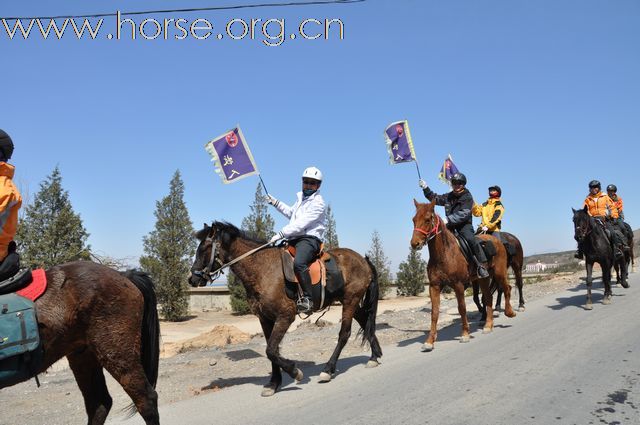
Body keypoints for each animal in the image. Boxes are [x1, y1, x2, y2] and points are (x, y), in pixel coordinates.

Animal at [188, 220, 382, 396]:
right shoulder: (265, 318)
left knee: (344, 334)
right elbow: (271, 350)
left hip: (350, 300)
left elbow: (271, 350)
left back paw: (328, 369)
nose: (192, 279)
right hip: (350, 301)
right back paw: (375, 356)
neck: (262, 269)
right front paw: (273, 383)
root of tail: (363, 260)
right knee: (365, 322)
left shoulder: (285, 316)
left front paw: (294, 371)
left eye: (205, 248)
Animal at [410, 200, 516, 350]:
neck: (444, 254)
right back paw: (488, 325)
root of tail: (496, 241)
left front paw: (465, 334)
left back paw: (510, 312)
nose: (415, 243)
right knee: (488, 297)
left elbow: (462, 308)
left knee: (507, 288)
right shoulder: (434, 286)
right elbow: (434, 312)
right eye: (414, 220)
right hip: (483, 279)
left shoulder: (458, 285)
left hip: (499, 273)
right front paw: (429, 341)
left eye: (427, 219)